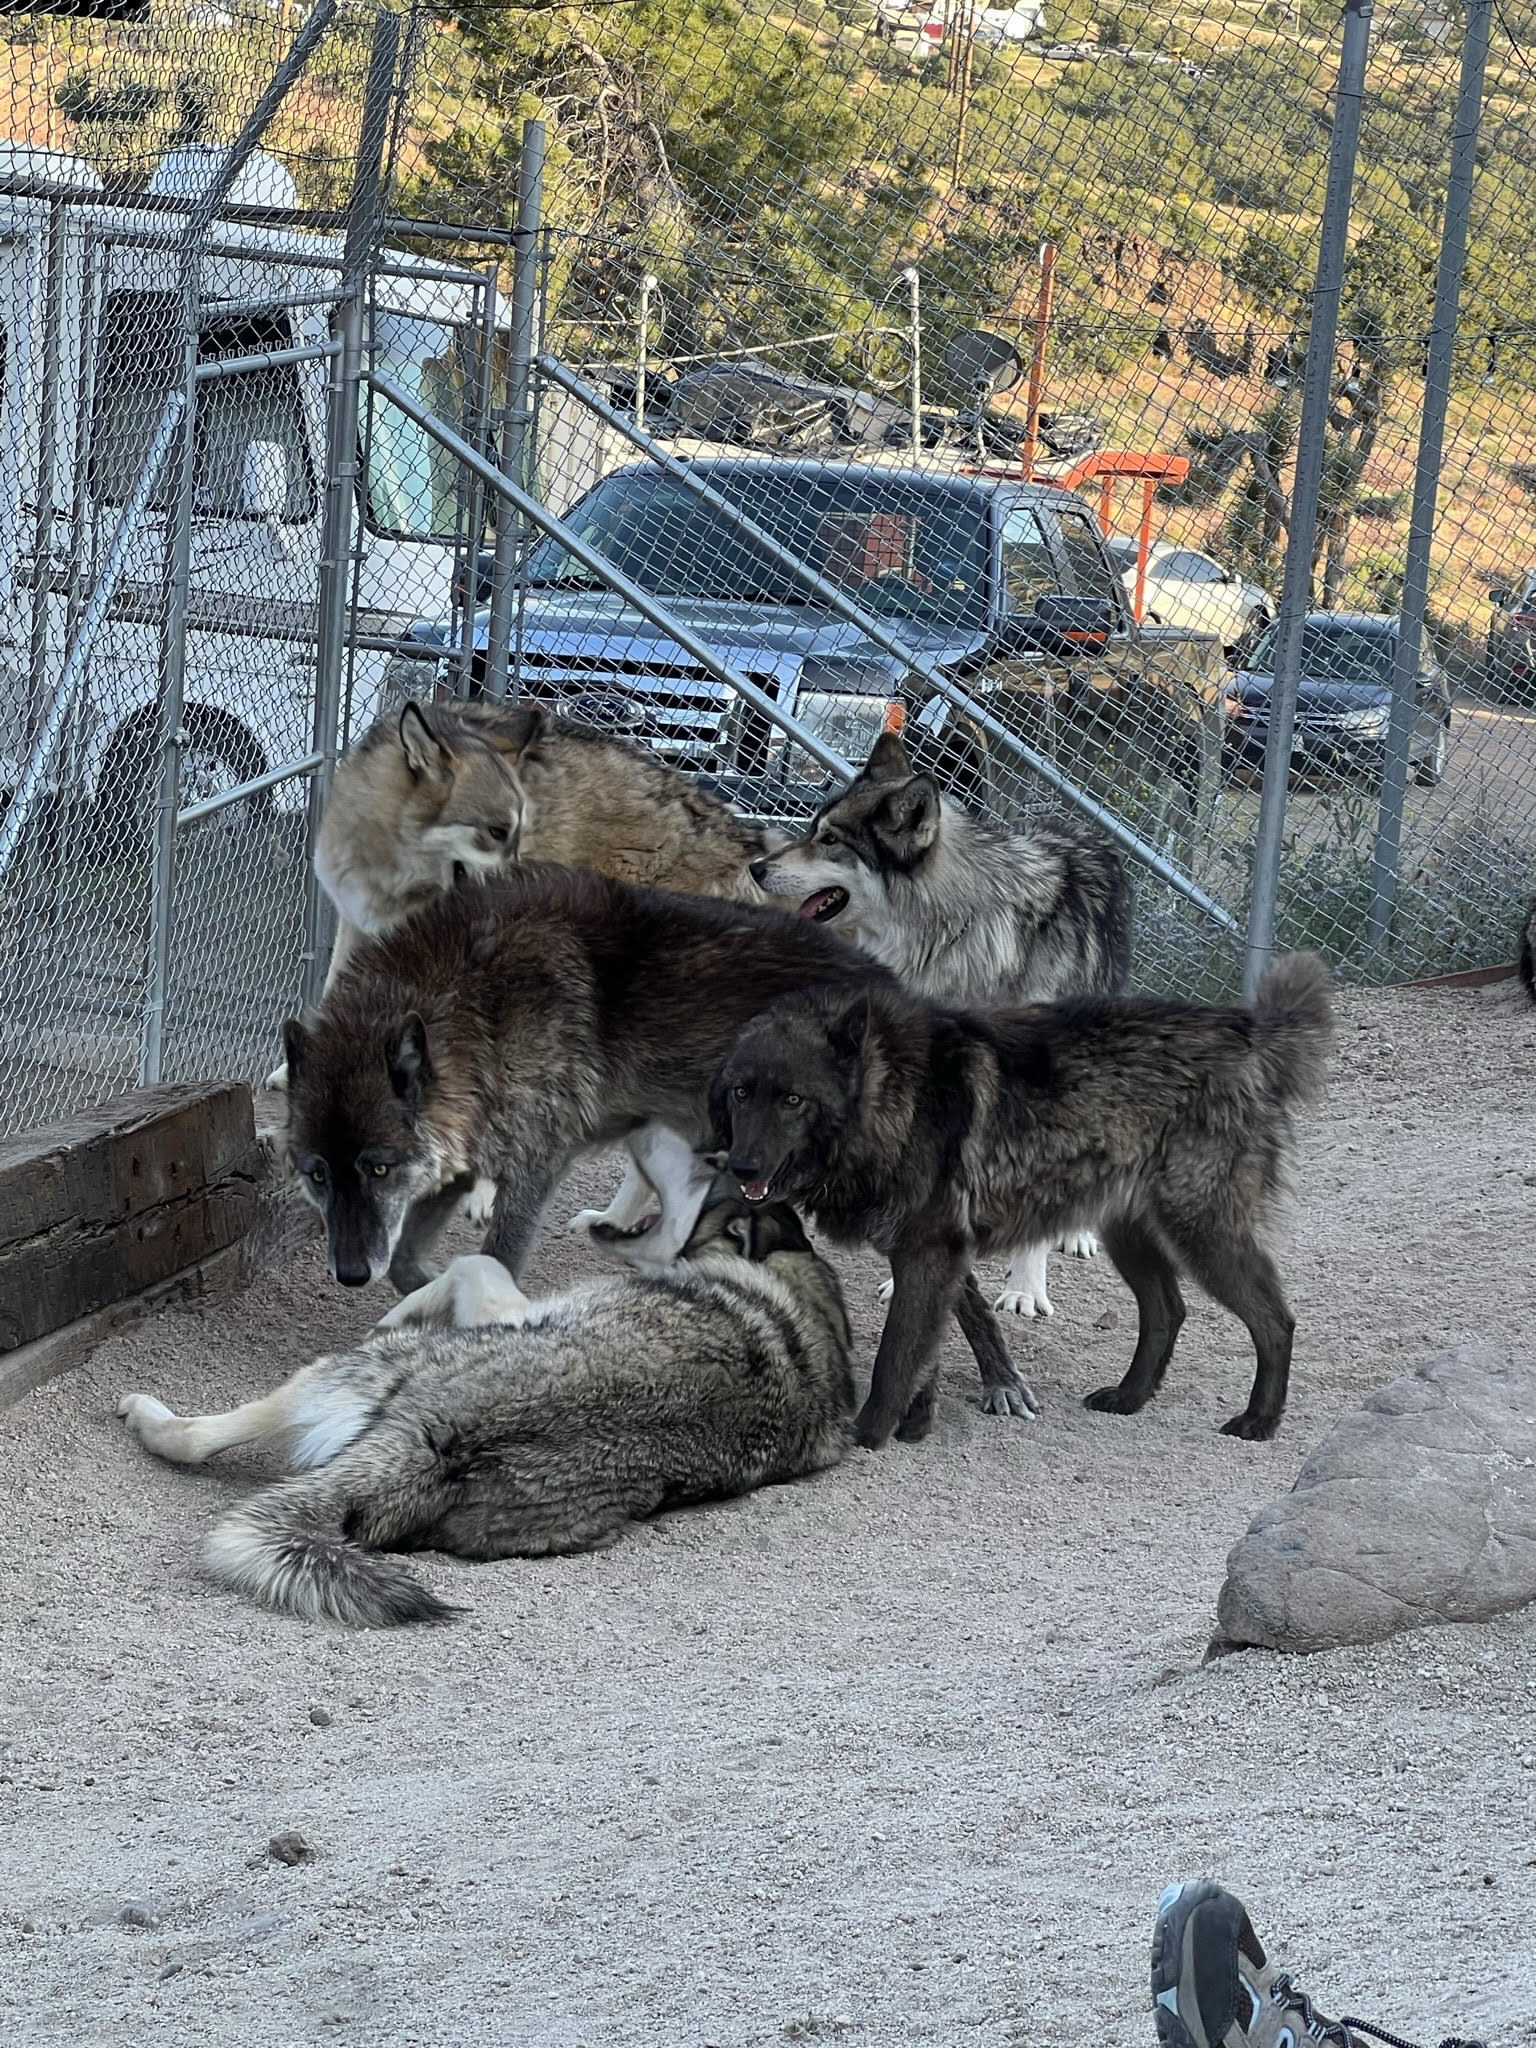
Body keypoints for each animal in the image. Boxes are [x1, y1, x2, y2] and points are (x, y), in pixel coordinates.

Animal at [117, 1196, 868, 1622]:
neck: (808, 1316)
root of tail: (437, 1437)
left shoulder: (503, 1302)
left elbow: (468, 1266)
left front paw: (398, 1308)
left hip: (323, 1379)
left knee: (200, 1438)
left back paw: (150, 1417)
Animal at [716, 950, 1343, 1449]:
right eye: (742, 1093)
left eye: (793, 1100)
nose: (742, 1165)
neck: (894, 1093)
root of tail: (1246, 1031)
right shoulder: (933, 1258)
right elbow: (926, 1353)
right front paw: (916, 1425)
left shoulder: (929, 1253)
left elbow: (895, 1357)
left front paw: (867, 1436)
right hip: (1134, 1237)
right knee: (1168, 1311)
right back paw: (1129, 1398)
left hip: (1202, 1234)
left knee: (1275, 1321)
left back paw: (1260, 1421)